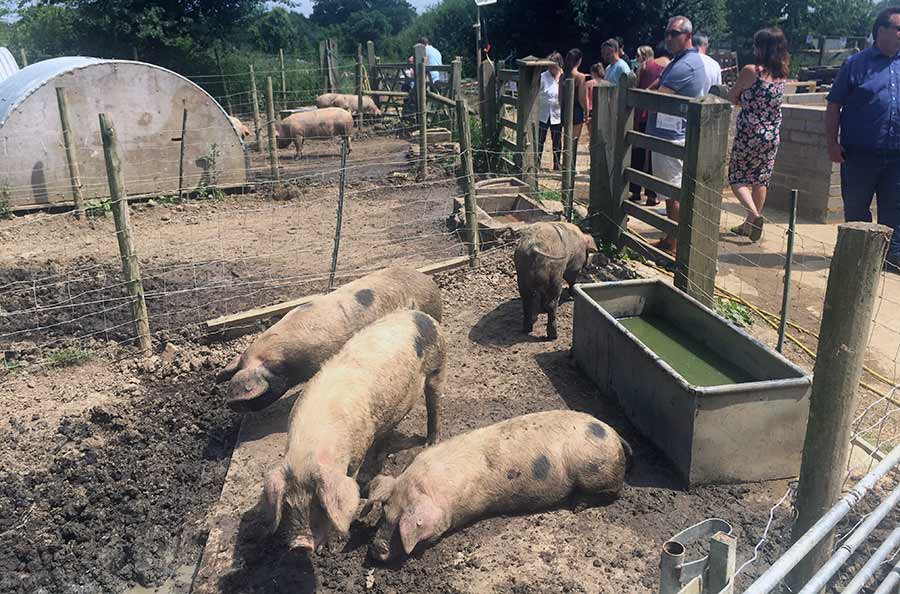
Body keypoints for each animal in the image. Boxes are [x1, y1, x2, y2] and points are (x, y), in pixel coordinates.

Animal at [260, 310, 446, 552]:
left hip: (437, 369)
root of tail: (420, 315)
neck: (312, 445)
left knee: (434, 406)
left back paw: (429, 443)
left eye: (319, 506)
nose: (301, 544)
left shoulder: (358, 450)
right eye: (288, 506)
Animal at [366, 410, 632, 556]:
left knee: (613, 492)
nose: (376, 549)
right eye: (384, 513)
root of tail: (614, 434)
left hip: (595, 469)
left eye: (400, 524)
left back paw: (577, 505)